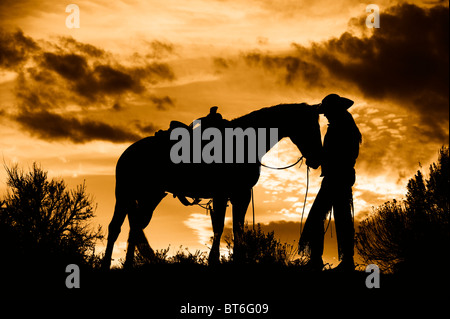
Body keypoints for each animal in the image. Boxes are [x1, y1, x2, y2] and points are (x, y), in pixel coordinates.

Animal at [100, 103, 322, 270]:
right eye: (310, 126)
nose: (317, 158)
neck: (242, 143)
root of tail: (127, 152)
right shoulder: (222, 194)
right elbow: (220, 226)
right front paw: (214, 260)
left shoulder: (241, 195)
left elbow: (237, 227)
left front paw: (237, 260)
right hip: (124, 194)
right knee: (115, 228)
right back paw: (106, 265)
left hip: (150, 197)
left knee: (135, 227)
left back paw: (128, 265)